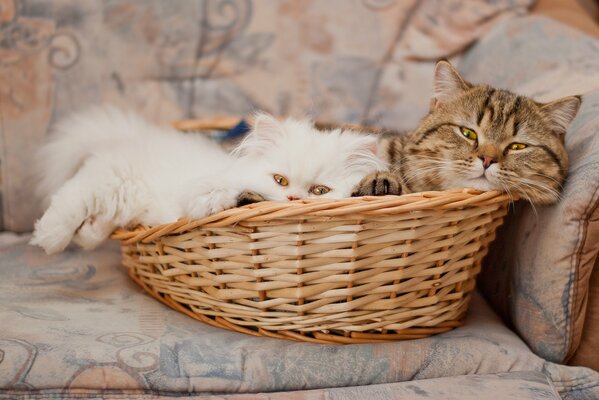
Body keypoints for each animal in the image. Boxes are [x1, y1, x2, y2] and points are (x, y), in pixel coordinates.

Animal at [31, 108, 390, 255]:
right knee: (70, 201)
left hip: (122, 198)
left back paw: (88, 233)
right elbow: (211, 195)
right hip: (113, 179)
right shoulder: (198, 188)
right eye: (280, 180)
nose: (294, 200)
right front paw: (220, 200)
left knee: (100, 222)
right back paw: (50, 239)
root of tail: (134, 136)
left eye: (319, 191)